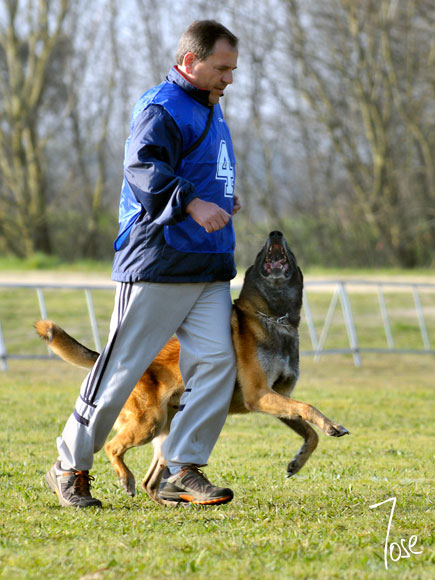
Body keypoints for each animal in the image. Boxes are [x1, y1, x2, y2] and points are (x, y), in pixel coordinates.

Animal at [36, 231, 349, 505]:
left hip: (167, 432)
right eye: (262, 251)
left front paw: (298, 460)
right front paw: (331, 425)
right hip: (147, 423)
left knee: (152, 481)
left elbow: (310, 432)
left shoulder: (277, 398)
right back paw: (125, 479)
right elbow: (307, 407)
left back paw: (173, 502)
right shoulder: (260, 395)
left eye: (289, 250)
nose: (275, 233)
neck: (273, 317)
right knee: (115, 449)